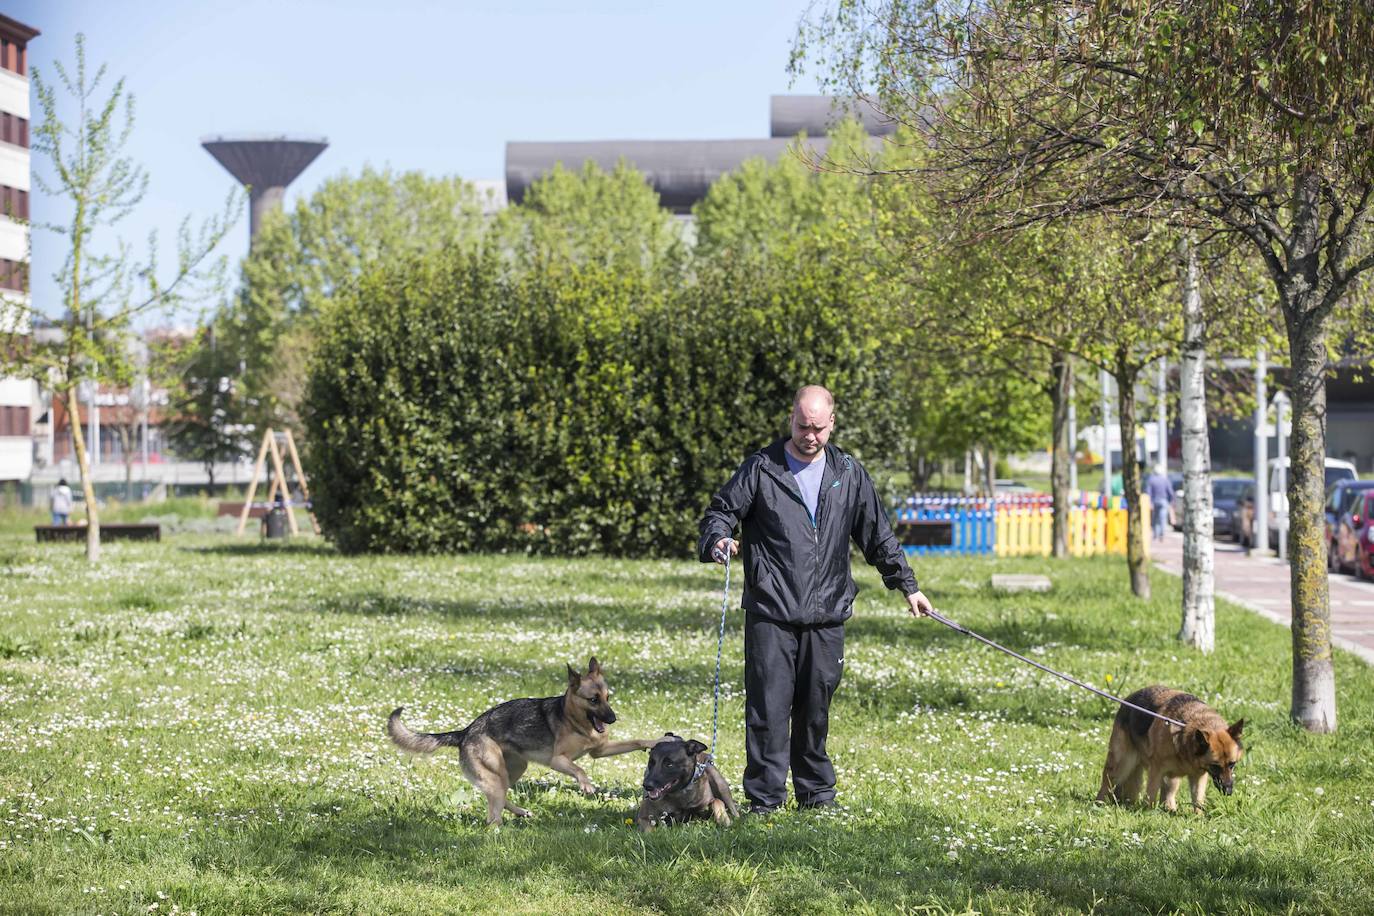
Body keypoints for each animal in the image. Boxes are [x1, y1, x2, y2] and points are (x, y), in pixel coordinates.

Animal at [390, 656, 662, 829]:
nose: (613, 719)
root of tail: (466, 732)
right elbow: (579, 768)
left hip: (514, 770)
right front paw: (586, 785)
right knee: (493, 816)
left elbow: (635, 740)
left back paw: (521, 812)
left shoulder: (601, 750)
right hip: (496, 774)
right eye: (593, 700)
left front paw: (656, 740)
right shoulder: (558, 761)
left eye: (607, 697)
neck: (575, 720)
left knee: (499, 800)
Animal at [1093, 683, 1247, 813]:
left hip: (1170, 778)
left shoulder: (1198, 776)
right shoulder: (1156, 770)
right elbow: (1151, 795)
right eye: (1215, 766)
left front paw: (1199, 817)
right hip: (1122, 764)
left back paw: (1170, 809)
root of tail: (1129, 699)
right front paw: (1148, 813)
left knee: (1168, 794)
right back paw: (1099, 804)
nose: (1228, 791)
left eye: (1232, 764)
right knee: (1107, 782)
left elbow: (1198, 800)